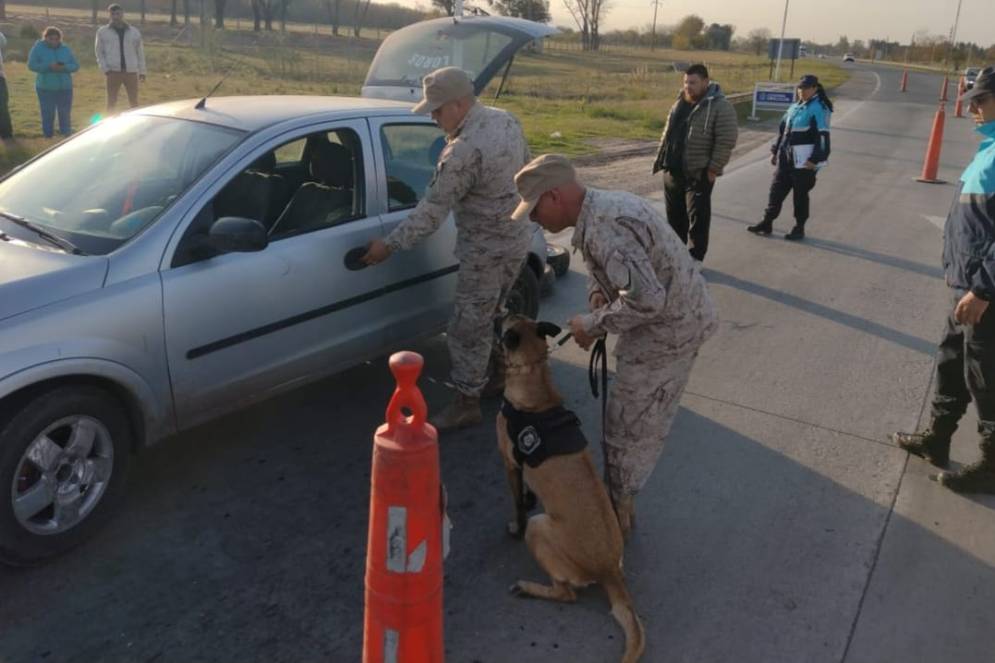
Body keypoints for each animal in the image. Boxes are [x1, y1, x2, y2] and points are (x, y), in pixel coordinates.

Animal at [496, 316, 644, 663]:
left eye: (505, 318)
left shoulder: (511, 464)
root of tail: (609, 570)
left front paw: (514, 524)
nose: (497, 315)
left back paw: (528, 588)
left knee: (566, 595)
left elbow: (518, 505)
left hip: (539, 528)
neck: (534, 372)